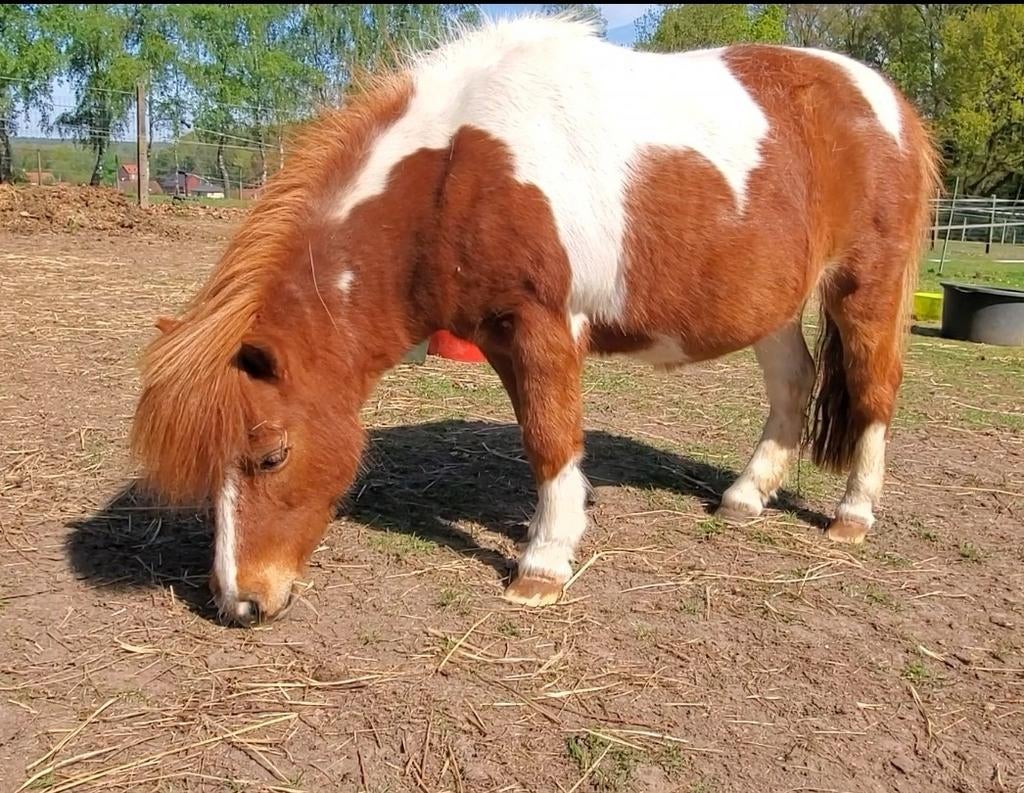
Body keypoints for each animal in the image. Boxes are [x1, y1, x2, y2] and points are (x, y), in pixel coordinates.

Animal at [130, 16, 940, 625]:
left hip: (865, 286)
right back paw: (746, 496)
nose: (238, 602)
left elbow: (550, 440)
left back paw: (852, 514)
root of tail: (888, 100)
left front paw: (543, 566)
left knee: (874, 389)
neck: (458, 170)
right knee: (792, 383)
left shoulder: (541, 327)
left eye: (270, 455)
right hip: (772, 303)